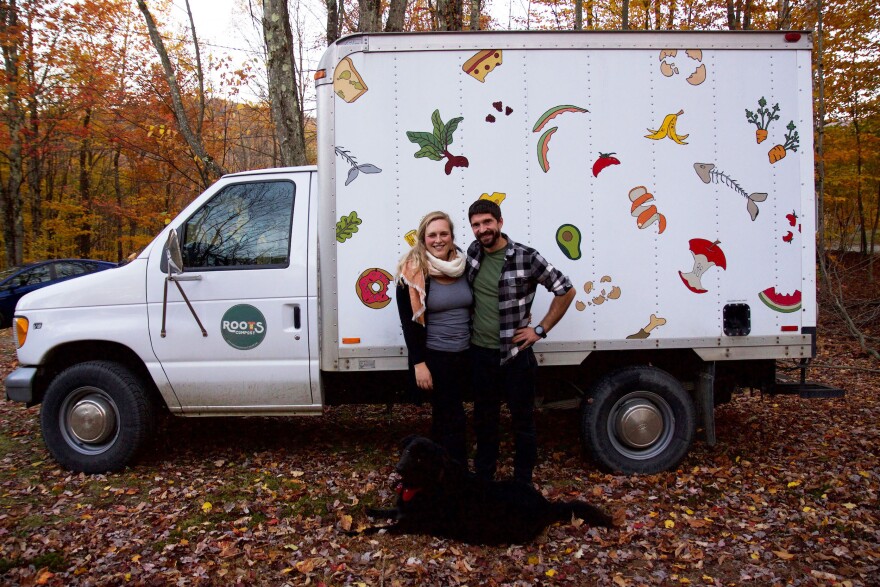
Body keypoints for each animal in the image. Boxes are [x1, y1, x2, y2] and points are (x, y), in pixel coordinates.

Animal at [356, 436, 612, 548]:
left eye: (420, 458)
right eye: (408, 451)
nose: (398, 468)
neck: (425, 485)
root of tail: (546, 503)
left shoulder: (409, 524)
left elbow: (378, 528)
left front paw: (354, 532)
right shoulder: (403, 511)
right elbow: (387, 511)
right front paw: (370, 509)